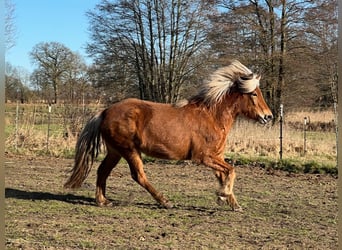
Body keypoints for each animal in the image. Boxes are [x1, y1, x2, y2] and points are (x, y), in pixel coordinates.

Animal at [64, 60, 272, 211]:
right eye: (253, 94)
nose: (268, 116)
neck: (212, 116)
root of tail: (105, 111)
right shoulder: (204, 157)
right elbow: (232, 171)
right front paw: (223, 195)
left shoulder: (216, 157)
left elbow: (225, 174)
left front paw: (232, 202)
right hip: (129, 150)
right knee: (138, 175)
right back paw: (165, 201)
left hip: (115, 151)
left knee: (102, 171)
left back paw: (102, 201)